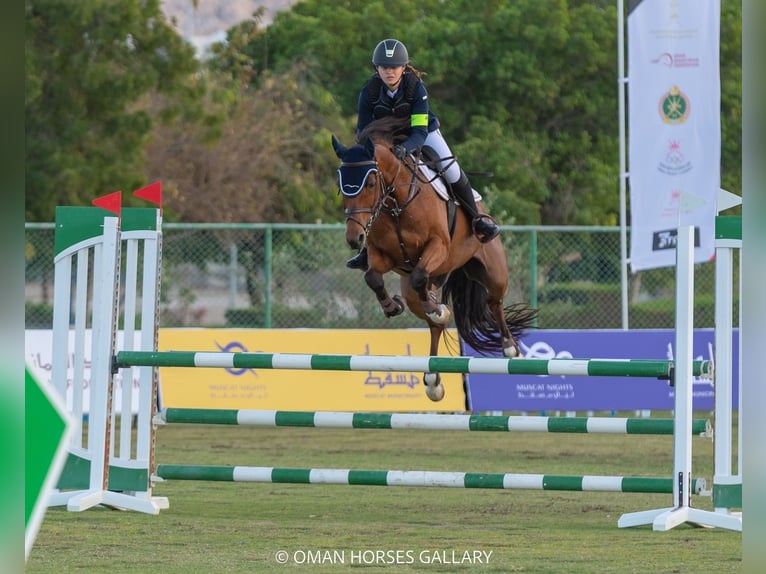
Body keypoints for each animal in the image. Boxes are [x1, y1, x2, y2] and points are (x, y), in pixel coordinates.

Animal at [332, 116, 540, 404]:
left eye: (371, 184)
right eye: (341, 187)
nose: (355, 238)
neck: (396, 203)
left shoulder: (438, 246)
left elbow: (420, 274)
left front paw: (436, 308)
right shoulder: (381, 255)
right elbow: (373, 277)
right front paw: (392, 306)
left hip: (493, 271)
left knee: (494, 301)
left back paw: (509, 348)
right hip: (415, 290)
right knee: (433, 323)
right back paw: (432, 378)